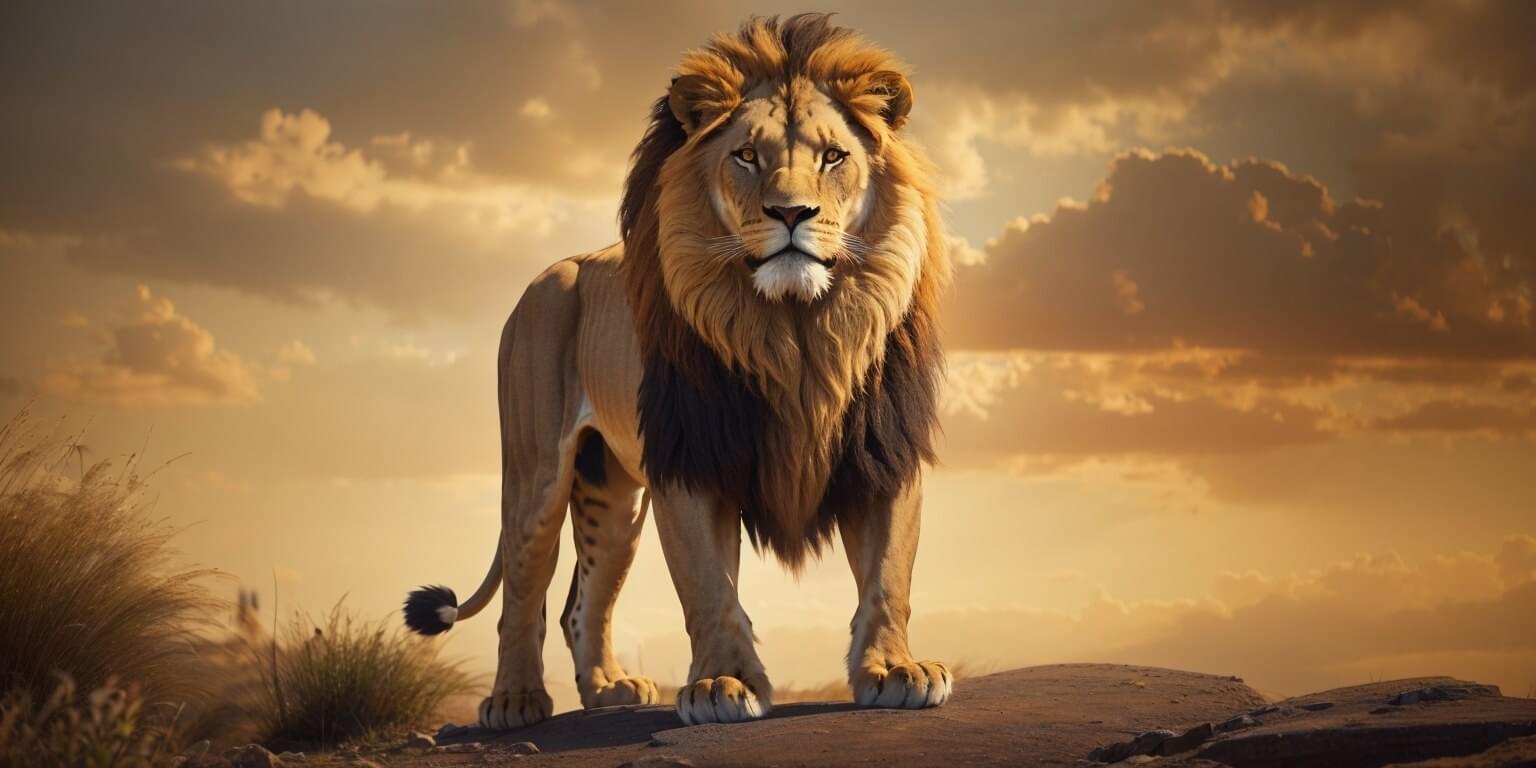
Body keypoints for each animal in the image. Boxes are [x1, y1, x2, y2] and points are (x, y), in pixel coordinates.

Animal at [404, 14, 952, 729]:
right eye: (746, 156)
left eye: (833, 157)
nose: (791, 214)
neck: (796, 330)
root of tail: (550, 274)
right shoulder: (692, 457)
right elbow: (707, 585)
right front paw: (723, 684)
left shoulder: (882, 447)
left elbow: (889, 574)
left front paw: (894, 669)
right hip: (535, 474)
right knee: (523, 593)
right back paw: (515, 700)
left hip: (612, 495)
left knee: (583, 603)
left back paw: (609, 688)